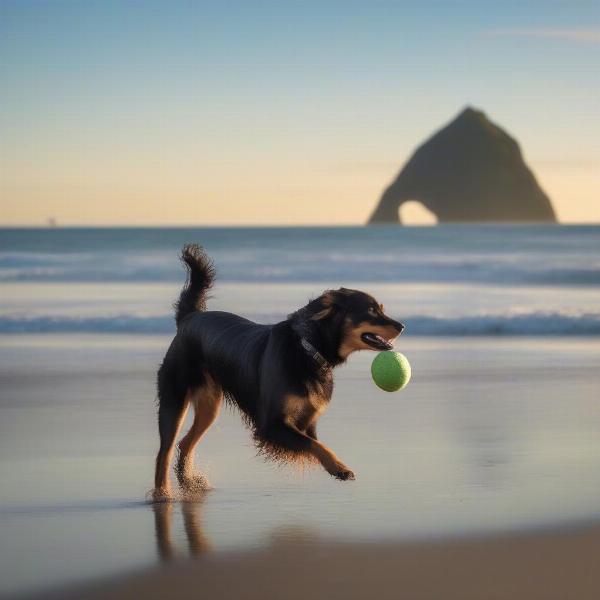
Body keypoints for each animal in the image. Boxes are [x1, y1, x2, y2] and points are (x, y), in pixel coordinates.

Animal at [152, 241, 406, 500]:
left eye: (381, 309)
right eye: (371, 311)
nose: (402, 326)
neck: (306, 349)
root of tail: (190, 317)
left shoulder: (306, 421)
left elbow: (313, 443)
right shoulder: (272, 425)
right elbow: (314, 445)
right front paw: (339, 467)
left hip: (209, 406)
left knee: (185, 443)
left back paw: (189, 483)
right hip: (175, 399)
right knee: (165, 450)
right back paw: (163, 493)